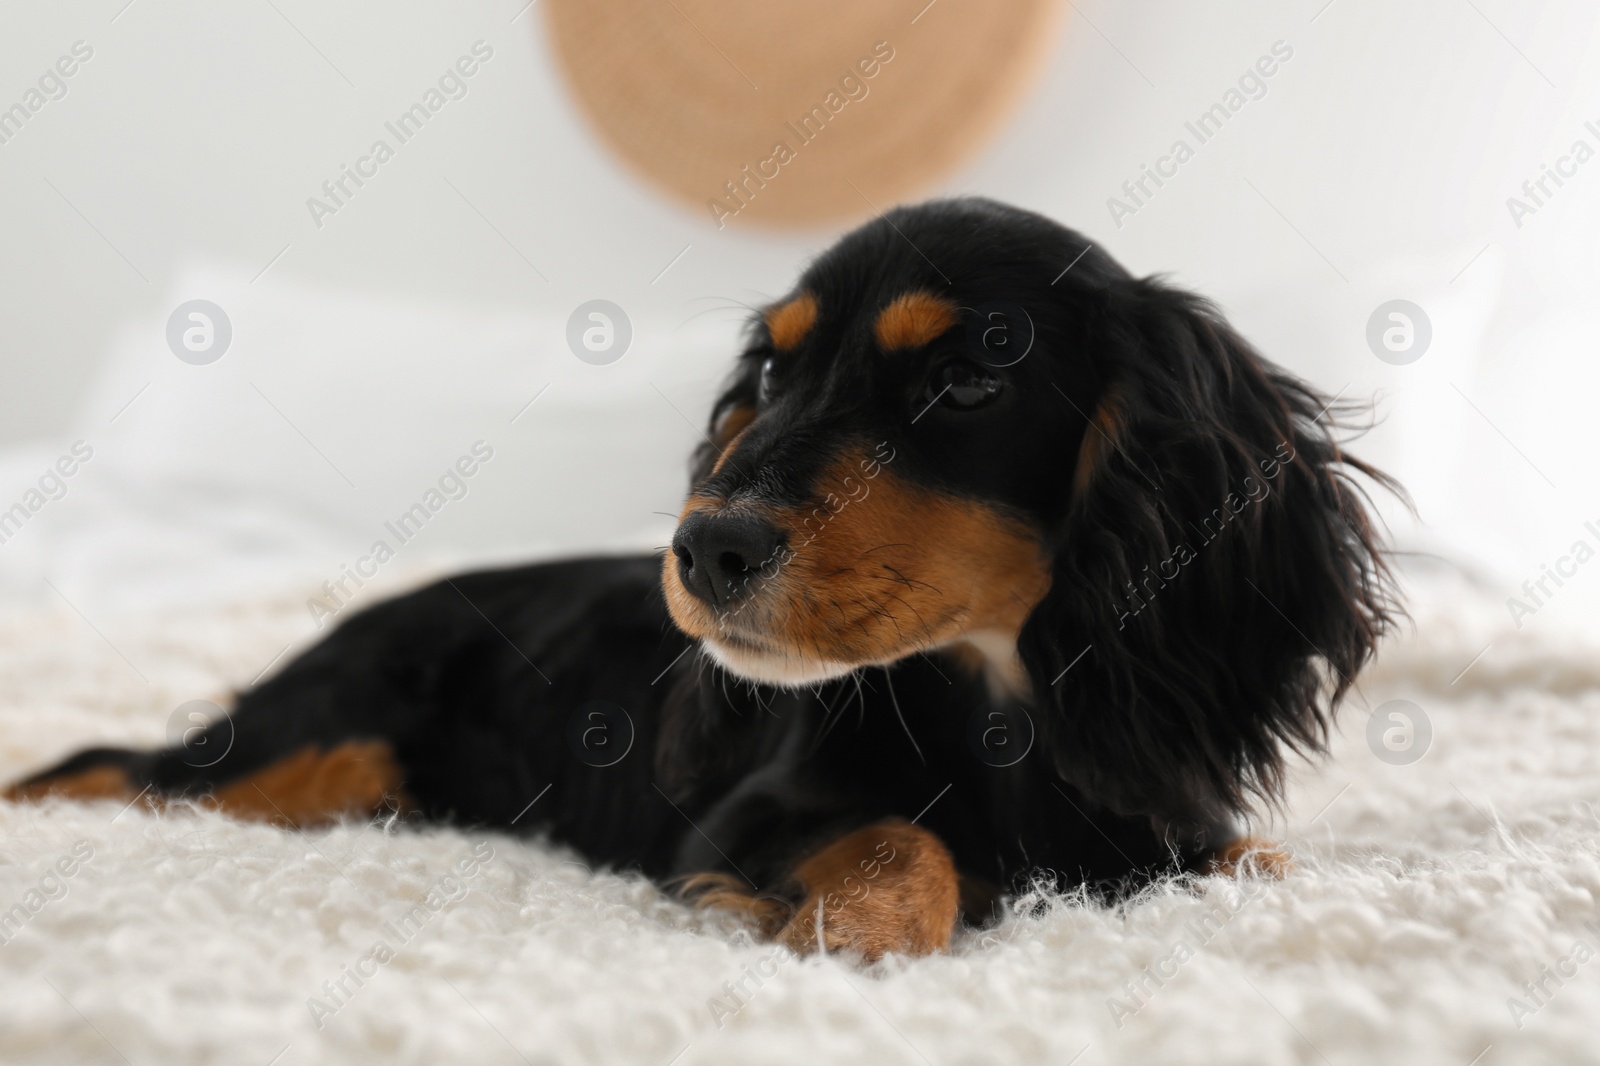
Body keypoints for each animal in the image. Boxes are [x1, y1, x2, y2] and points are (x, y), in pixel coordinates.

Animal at [6, 195, 1395, 960]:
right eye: (772, 372)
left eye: (966, 381)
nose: (705, 548)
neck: (995, 705)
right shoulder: (734, 821)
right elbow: (892, 831)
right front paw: (856, 928)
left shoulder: (1163, 819)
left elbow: (1254, 861)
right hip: (317, 746)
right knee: (116, 770)